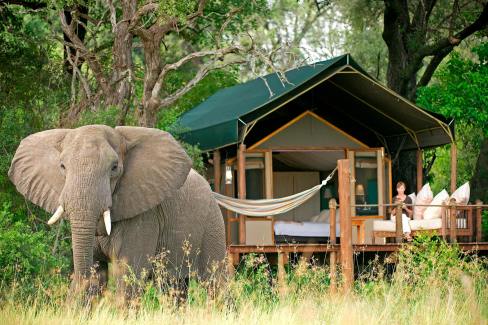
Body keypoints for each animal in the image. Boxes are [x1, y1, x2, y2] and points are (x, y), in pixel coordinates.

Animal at [8, 125, 227, 292]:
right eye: (62, 166)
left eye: (114, 168)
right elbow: (97, 273)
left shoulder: (145, 216)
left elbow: (128, 276)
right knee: (174, 287)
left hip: (213, 224)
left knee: (215, 281)